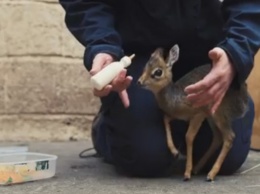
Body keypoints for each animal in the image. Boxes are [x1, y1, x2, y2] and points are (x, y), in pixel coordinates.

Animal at [137, 44, 249, 182]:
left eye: (158, 72)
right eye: (145, 67)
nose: (139, 81)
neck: (175, 97)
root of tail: (244, 101)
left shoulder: (198, 114)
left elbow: (189, 137)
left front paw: (186, 173)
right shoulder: (180, 116)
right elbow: (165, 118)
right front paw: (174, 152)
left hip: (218, 114)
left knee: (229, 137)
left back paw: (210, 174)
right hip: (212, 117)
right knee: (218, 137)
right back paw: (197, 168)